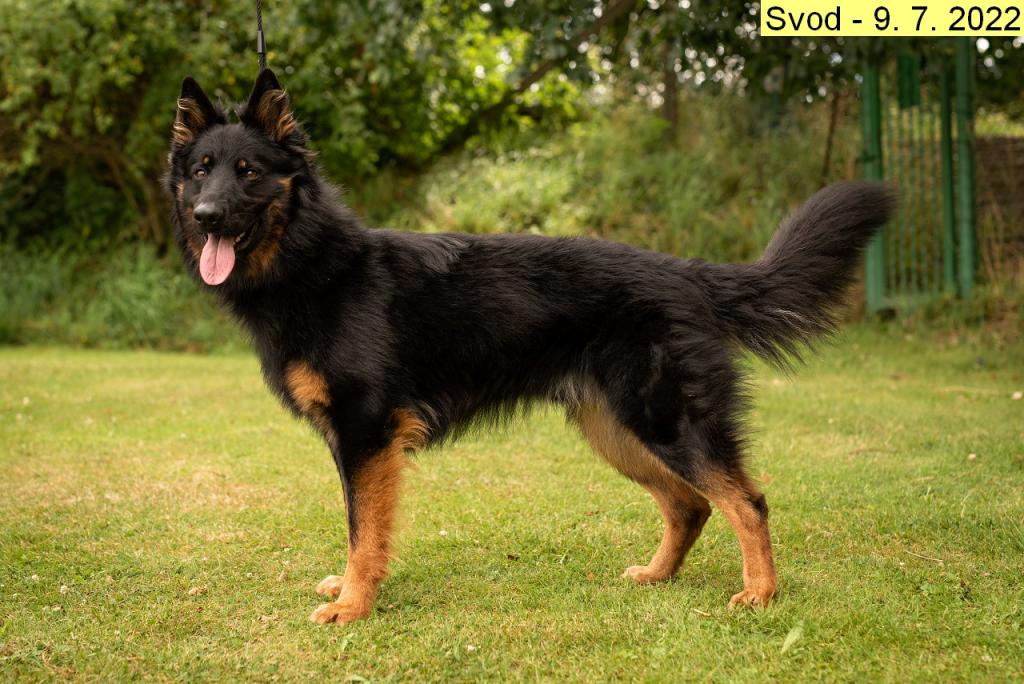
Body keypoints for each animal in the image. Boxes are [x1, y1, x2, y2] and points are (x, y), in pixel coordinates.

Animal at [166, 68, 894, 625]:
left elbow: (364, 533)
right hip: (615, 431)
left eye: (248, 172)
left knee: (746, 501)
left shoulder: (367, 437)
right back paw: (659, 576)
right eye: (201, 171)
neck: (315, 265)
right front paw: (349, 591)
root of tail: (685, 271)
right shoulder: (357, 444)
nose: (205, 216)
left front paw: (352, 605)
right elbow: (359, 528)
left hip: (665, 422)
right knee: (690, 503)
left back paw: (761, 593)